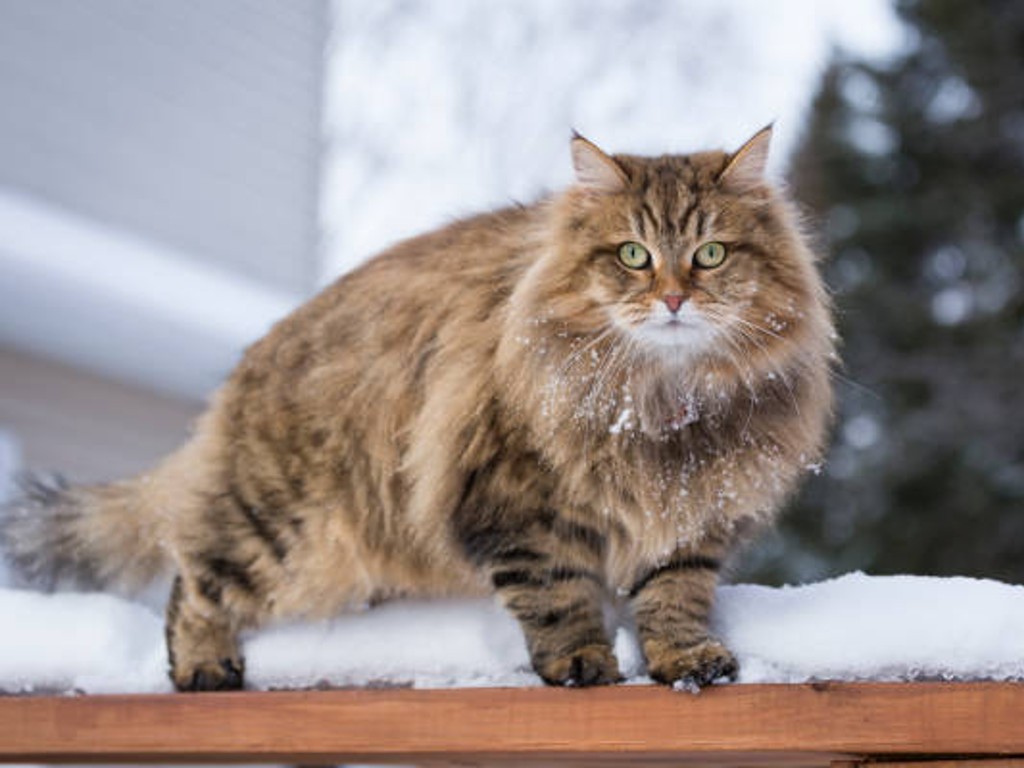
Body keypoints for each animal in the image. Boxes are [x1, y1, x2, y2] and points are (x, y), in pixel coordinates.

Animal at [0, 126, 831, 692]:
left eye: (711, 254)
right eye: (633, 255)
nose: (673, 298)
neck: (661, 402)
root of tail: (250, 365)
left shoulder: (691, 515)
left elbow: (674, 596)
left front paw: (685, 660)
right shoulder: (514, 503)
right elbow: (557, 596)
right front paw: (581, 661)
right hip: (280, 527)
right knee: (193, 580)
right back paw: (206, 666)